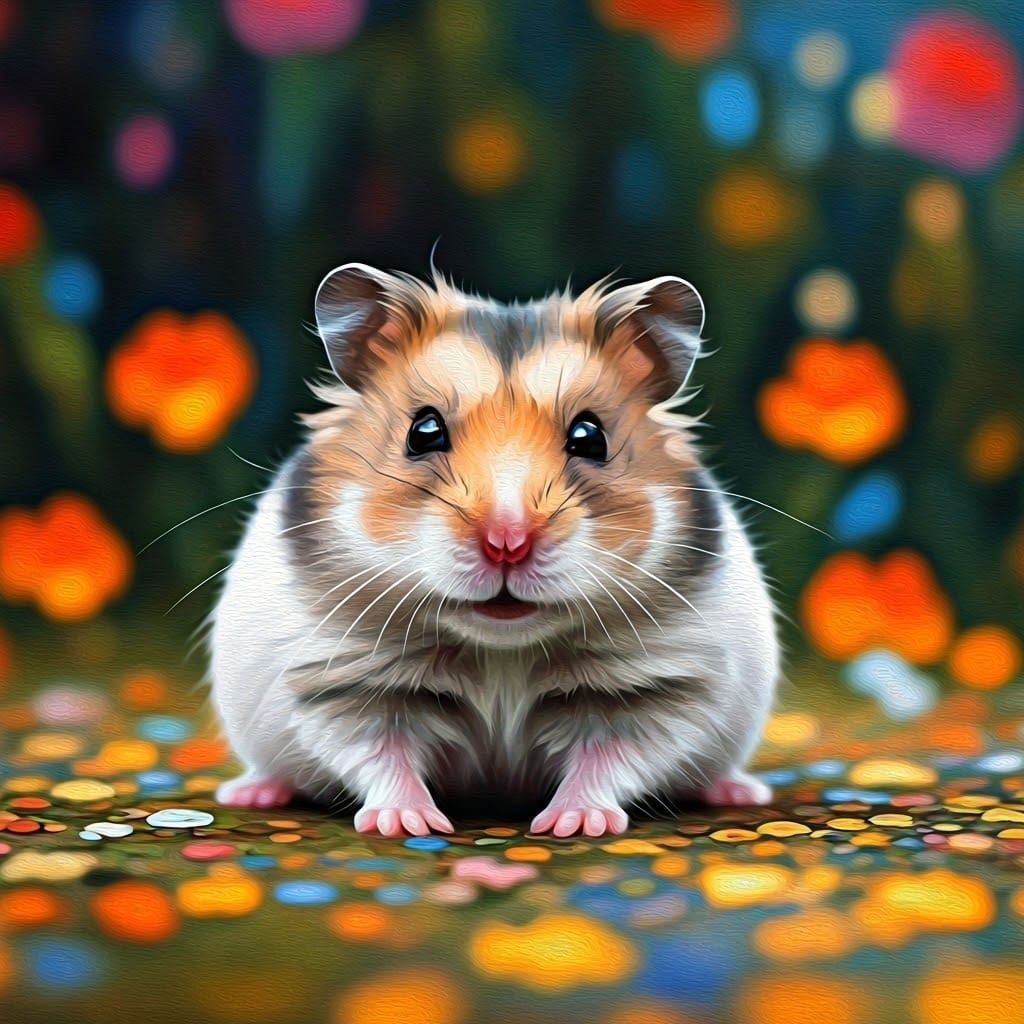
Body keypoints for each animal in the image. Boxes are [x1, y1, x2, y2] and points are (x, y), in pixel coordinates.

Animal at [209, 264, 779, 837]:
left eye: (590, 436)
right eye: (423, 431)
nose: (508, 543)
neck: (501, 649)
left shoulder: (657, 688)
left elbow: (609, 757)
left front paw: (572, 824)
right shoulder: (341, 682)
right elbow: (379, 753)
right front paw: (407, 823)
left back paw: (738, 791)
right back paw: (251, 793)